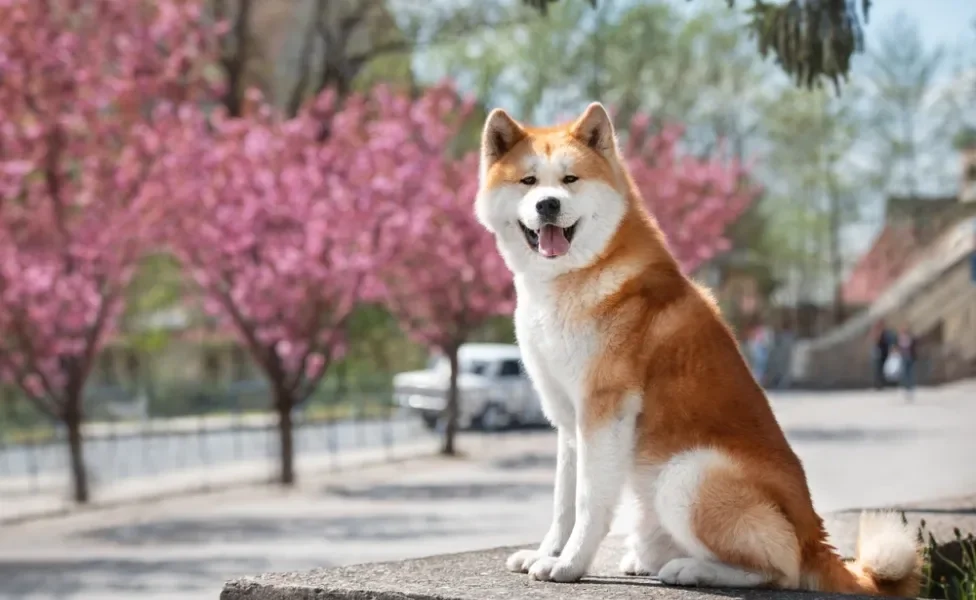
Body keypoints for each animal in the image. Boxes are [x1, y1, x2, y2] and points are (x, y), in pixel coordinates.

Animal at [472, 104, 924, 596]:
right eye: (528, 182)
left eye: (570, 179)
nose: (548, 205)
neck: (577, 276)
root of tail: (816, 543)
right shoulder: (568, 418)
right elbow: (563, 502)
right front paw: (547, 551)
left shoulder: (603, 410)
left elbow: (589, 501)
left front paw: (569, 563)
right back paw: (648, 561)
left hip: (687, 473)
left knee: (778, 570)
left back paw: (690, 570)